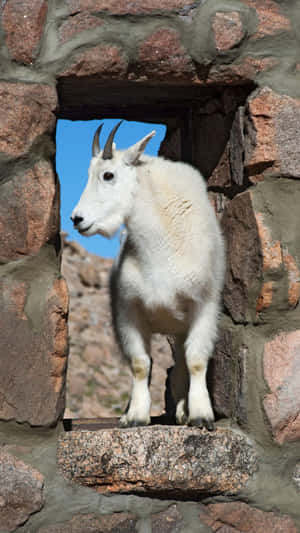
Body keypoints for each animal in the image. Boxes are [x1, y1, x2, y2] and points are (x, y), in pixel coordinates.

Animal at [71, 120, 224, 428]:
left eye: (108, 175)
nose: (77, 219)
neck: (161, 251)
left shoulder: (203, 306)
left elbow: (196, 361)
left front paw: (201, 415)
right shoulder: (128, 312)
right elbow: (140, 365)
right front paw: (135, 417)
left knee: (181, 364)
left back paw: (183, 411)